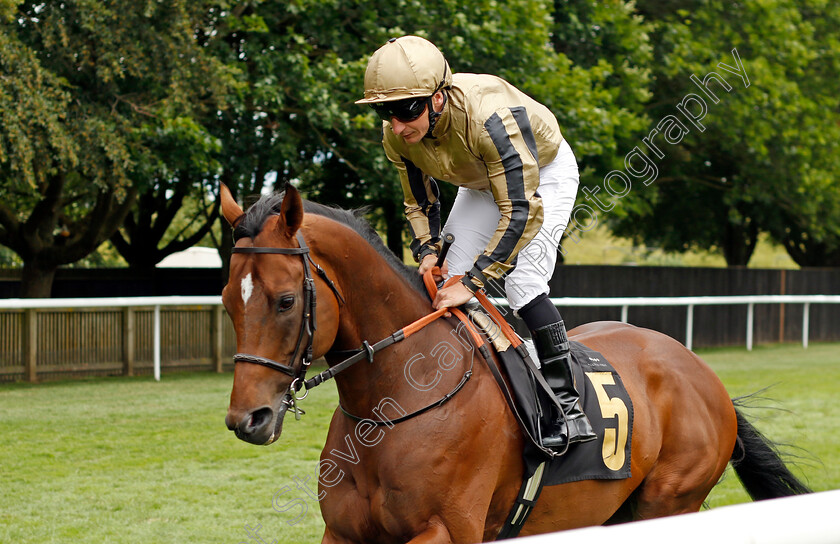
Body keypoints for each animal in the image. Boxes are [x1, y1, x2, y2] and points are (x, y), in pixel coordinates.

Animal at [220, 185, 812, 540]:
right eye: (227, 300)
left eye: (285, 301)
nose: (249, 419)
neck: (394, 405)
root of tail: (704, 374)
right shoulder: (343, 533)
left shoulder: (444, 530)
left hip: (668, 502)